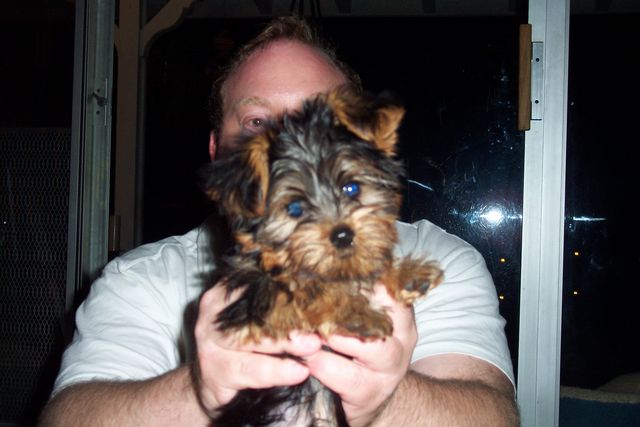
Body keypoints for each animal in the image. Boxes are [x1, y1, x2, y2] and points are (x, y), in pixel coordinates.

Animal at [201, 86, 443, 426]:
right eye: (295, 209)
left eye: (351, 188)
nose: (342, 235)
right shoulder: (256, 303)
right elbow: (306, 290)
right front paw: (357, 313)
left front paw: (406, 274)